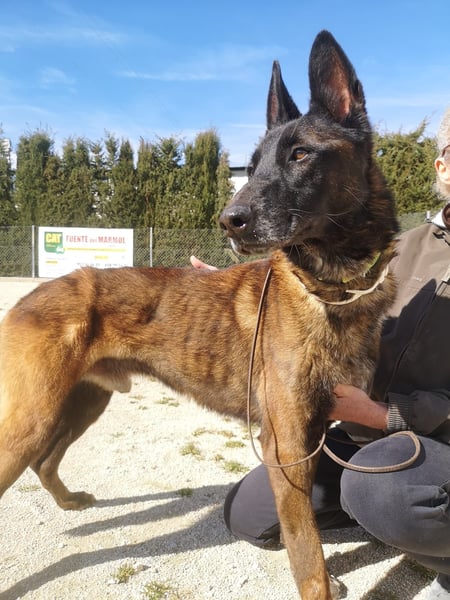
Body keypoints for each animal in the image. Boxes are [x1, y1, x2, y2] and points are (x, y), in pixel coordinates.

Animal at [0, 31, 398, 599]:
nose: (229, 221)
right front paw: (321, 583)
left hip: (83, 403)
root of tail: (32, 294)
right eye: (251, 166)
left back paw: (71, 501)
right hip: (33, 418)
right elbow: (307, 550)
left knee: (46, 460)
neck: (331, 290)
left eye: (301, 154)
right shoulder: (285, 446)